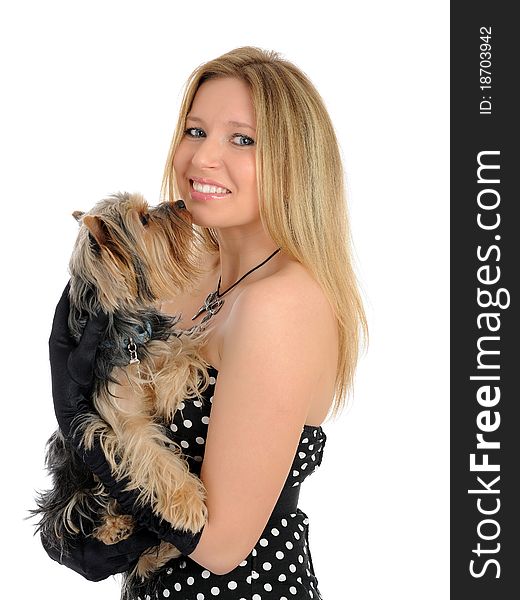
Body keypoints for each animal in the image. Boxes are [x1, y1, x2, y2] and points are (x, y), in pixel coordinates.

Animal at [32, 192, 213, 580]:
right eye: (144, 219)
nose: (180, 202)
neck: (127, 332)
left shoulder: (159, 345)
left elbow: (182, 351)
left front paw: (168, 391)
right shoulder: (122, 420)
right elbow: (152, 454)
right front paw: (188, 504)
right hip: (73, 490)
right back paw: (114, 528)